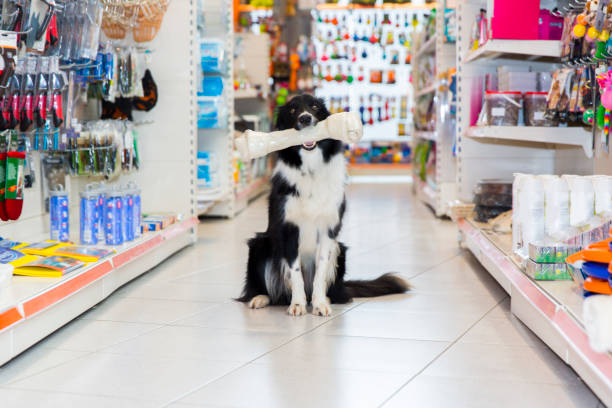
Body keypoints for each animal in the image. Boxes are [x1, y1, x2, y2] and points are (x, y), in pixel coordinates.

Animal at [237, 95, 408, 316]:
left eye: (315, 107)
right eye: (292, 110)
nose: (305, 118)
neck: (310, 168)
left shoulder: (328, 230)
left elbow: (320, 270)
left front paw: (319, 304)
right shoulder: (288, 229)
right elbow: (295, 272)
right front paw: (298, 304)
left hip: (340, 249)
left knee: (336, 292)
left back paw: (325, 297)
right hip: (260, 244)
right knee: (269, 290)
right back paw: (260, 298)